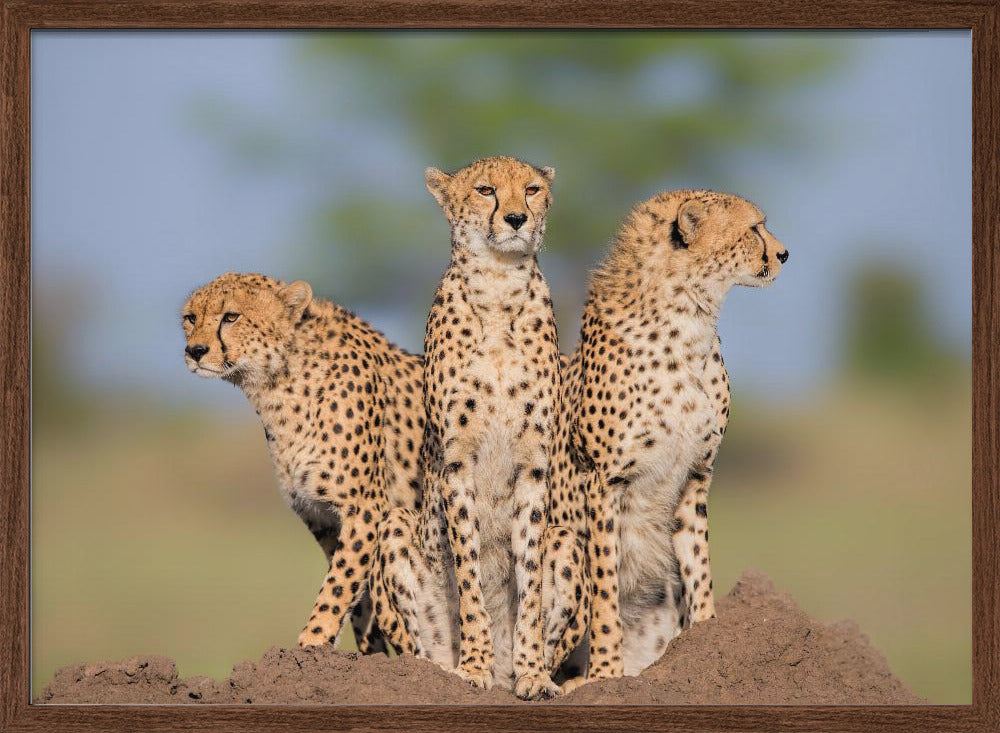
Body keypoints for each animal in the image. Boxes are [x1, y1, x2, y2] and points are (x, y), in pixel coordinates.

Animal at [181, 271, 426, 654]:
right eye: (191, 318)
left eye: (231, 317)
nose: (195, 351)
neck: (277, 383)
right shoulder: (322, 518)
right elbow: (357, 598)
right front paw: (367, 653)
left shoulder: (364, 509)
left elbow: (339, 585)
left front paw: (311, 643)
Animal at [564, 190, 789, 684]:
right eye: (754, 228)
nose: (784, 253)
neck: (689, 319)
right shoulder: (603, 482)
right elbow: (605, 588)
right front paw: (605, 674)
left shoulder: (695, 476)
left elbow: (699, 566)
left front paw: (706, 637)